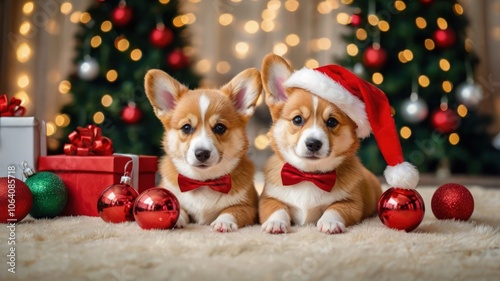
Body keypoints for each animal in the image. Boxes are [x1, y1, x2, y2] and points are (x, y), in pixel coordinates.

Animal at [145, 68, 262, 232]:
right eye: (186, 128)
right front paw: (175, 218)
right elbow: (180, 208)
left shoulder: (249, 208)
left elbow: (232, 210)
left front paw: (223, 222)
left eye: (220, 128)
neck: (203, 181)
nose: (202, 153)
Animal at [258, 53, 418, 233]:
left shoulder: (350, 203)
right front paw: (275, 223)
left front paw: (330, 223)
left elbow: (334, 209)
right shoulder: (268, 198)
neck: (309, 175)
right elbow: (276, 208)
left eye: (332, 122)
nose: (313, 143)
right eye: (297, 120)